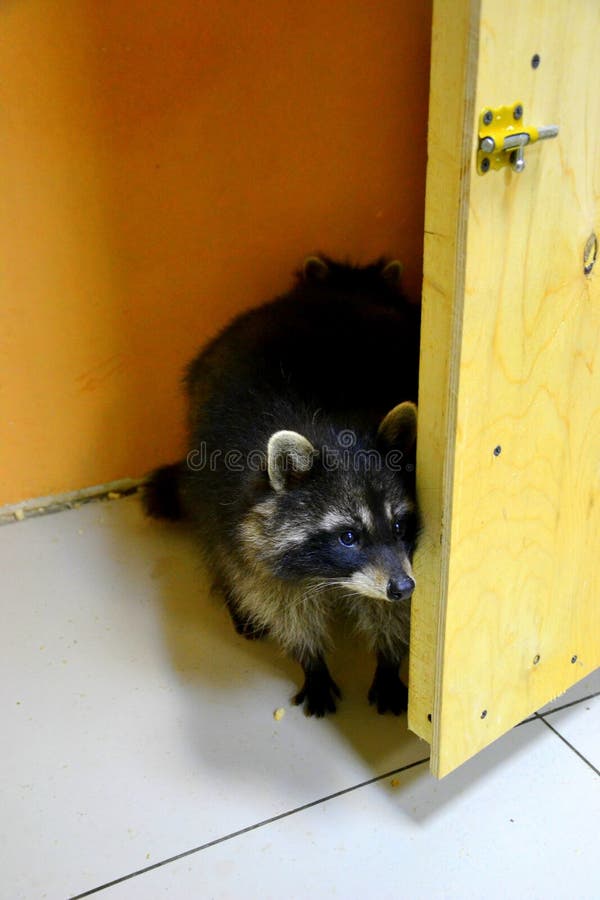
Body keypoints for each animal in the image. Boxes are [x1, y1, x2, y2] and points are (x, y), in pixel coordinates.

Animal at [144, 256, 421, 717]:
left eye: (400, 526)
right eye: (348, 536)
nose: (401, 587)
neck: (332, 426)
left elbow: (393, 610)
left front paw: (389, 657)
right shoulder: (237, 506)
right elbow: (275, 596)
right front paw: (310, 658)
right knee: (219, 551)